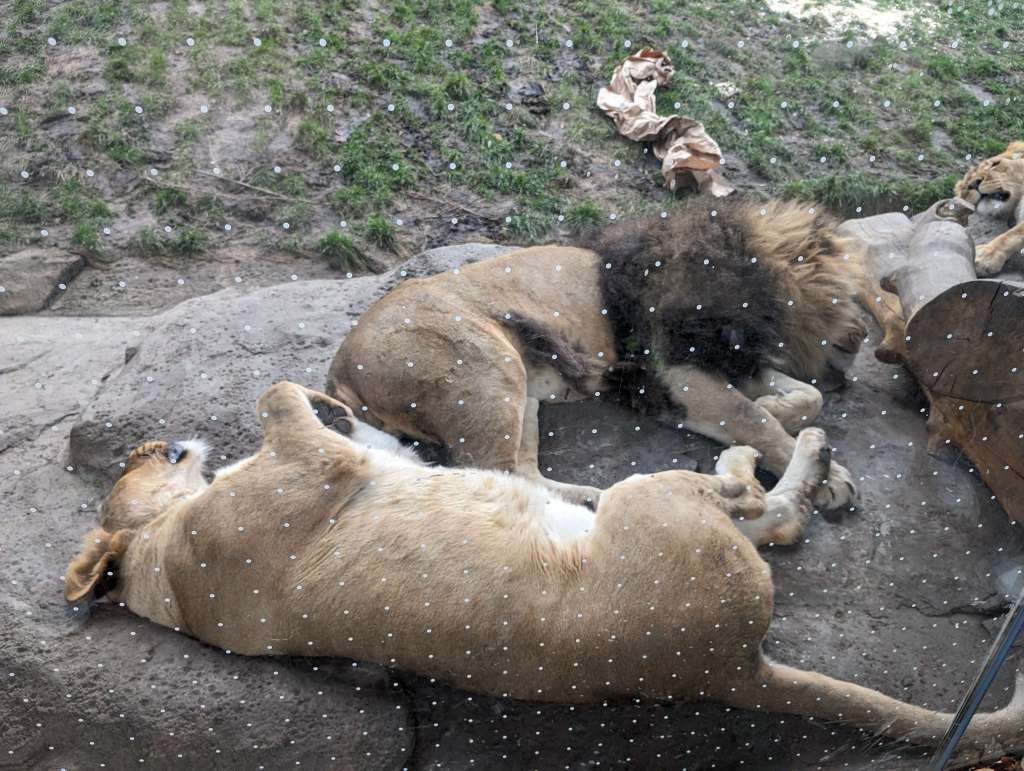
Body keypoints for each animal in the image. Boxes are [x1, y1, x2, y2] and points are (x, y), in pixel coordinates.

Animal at [64, 381, 1024, 760]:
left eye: (132, 459)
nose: (153, 440)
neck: (158, 563)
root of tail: (731, 669)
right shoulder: (309, 473)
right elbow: (279, 396)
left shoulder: (340, 458)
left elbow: (334, 417)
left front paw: (347, 404)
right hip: (648, 504)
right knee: (764, 509)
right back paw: (790, 452)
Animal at [326, 197, 865, 509]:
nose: (859, 339)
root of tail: (340, 368)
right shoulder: (679, 373)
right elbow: (756, 421)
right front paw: (831, 477)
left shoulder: (726, 365)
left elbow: (802, 397)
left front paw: (785, 408)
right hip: (486, 368)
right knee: (487, 472)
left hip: (519, 393)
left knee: (520, 473)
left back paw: (585, 500)